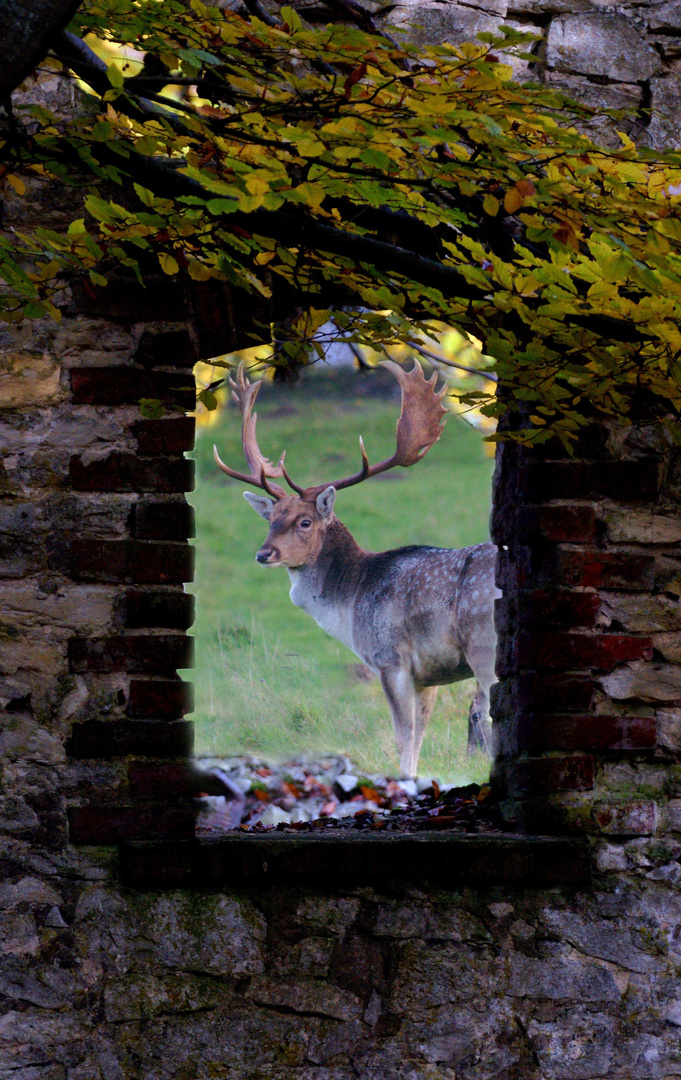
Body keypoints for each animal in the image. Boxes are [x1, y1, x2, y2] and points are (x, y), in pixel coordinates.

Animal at [214, 360, 500, 777]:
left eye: (304, 522)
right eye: (271, 520)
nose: (264, 554)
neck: (350, 603)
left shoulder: (389, 657)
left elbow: (403, 736)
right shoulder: (429, 674)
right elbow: (418, 738)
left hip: (484, 644)